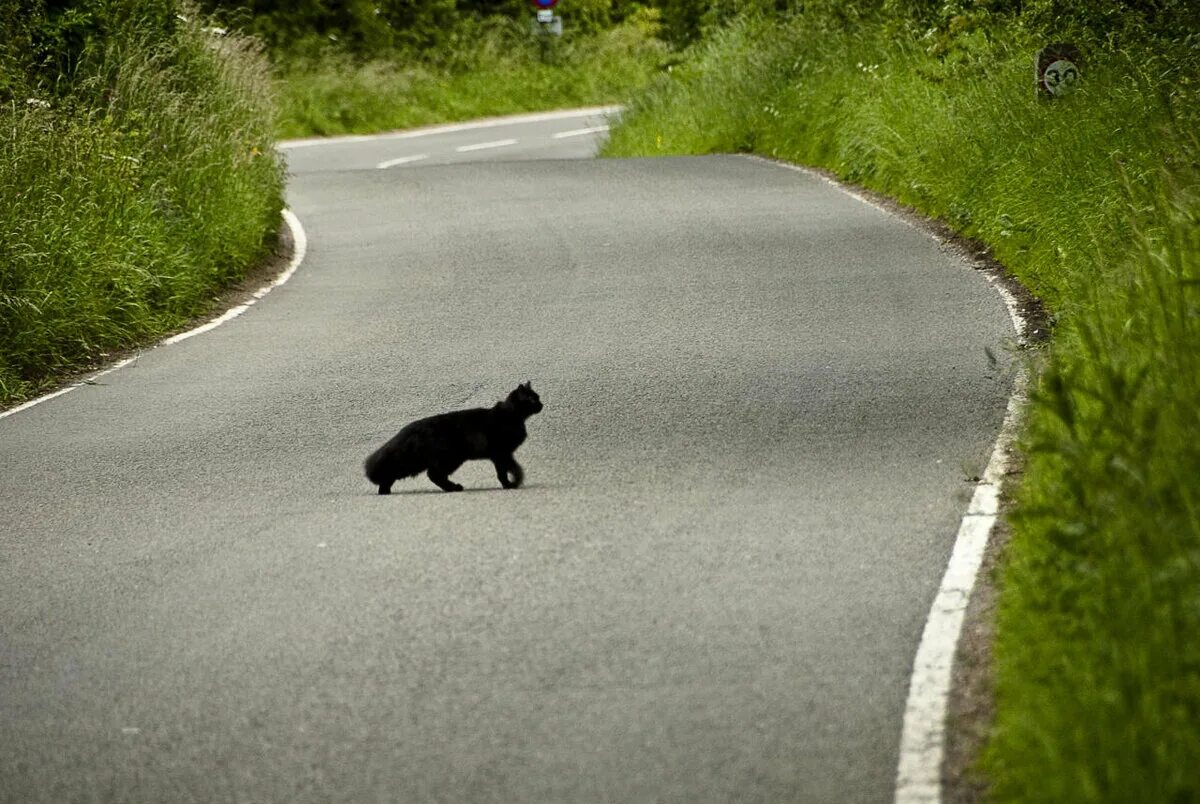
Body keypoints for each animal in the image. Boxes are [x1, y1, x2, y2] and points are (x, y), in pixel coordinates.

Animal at [360, 381, 540, 494]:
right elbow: (513, 468)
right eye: (533, 399)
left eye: (538, 397)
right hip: (451, 458)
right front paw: (515, 483)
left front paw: (508, 485)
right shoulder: (502, 452)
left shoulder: (498, 456)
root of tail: (413, 428)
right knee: (433, 474)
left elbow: (502, 472)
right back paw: (454, 488)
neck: (512, 415)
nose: (541, 405)